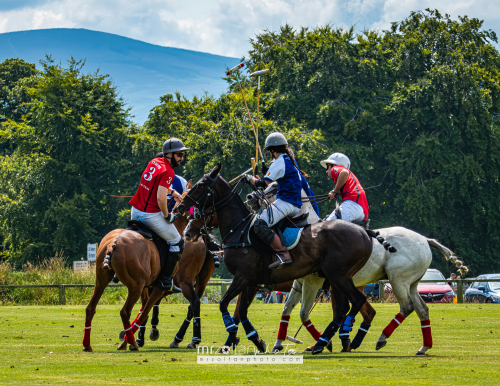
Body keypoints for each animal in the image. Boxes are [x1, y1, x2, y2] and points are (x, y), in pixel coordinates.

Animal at [178, 164, 374, 354]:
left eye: (201, 185)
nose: (181, 207)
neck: (239, 230)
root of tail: (364, 233)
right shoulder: (251, 282)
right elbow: (241, 311)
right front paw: (256, 340)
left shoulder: (242, 277)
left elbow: (225, 305)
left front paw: (233, 338)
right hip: (335, 279)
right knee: (343, 309)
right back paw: (324, 342)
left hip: (338, 275)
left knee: (357, 302)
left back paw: (339, 339)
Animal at [246, 182, 464, 354]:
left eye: (275, 186)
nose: (250, 198)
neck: (306, 230)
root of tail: (425, 240)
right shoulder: (301, 283)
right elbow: (288, 309)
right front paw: (278, 344)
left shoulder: (319, 282)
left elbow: (329, 311)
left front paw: (327, 342)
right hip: (412, 283)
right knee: (422, 309)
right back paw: (423, 346)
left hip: (398, 279)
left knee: (406, 306)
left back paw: (379, 338)